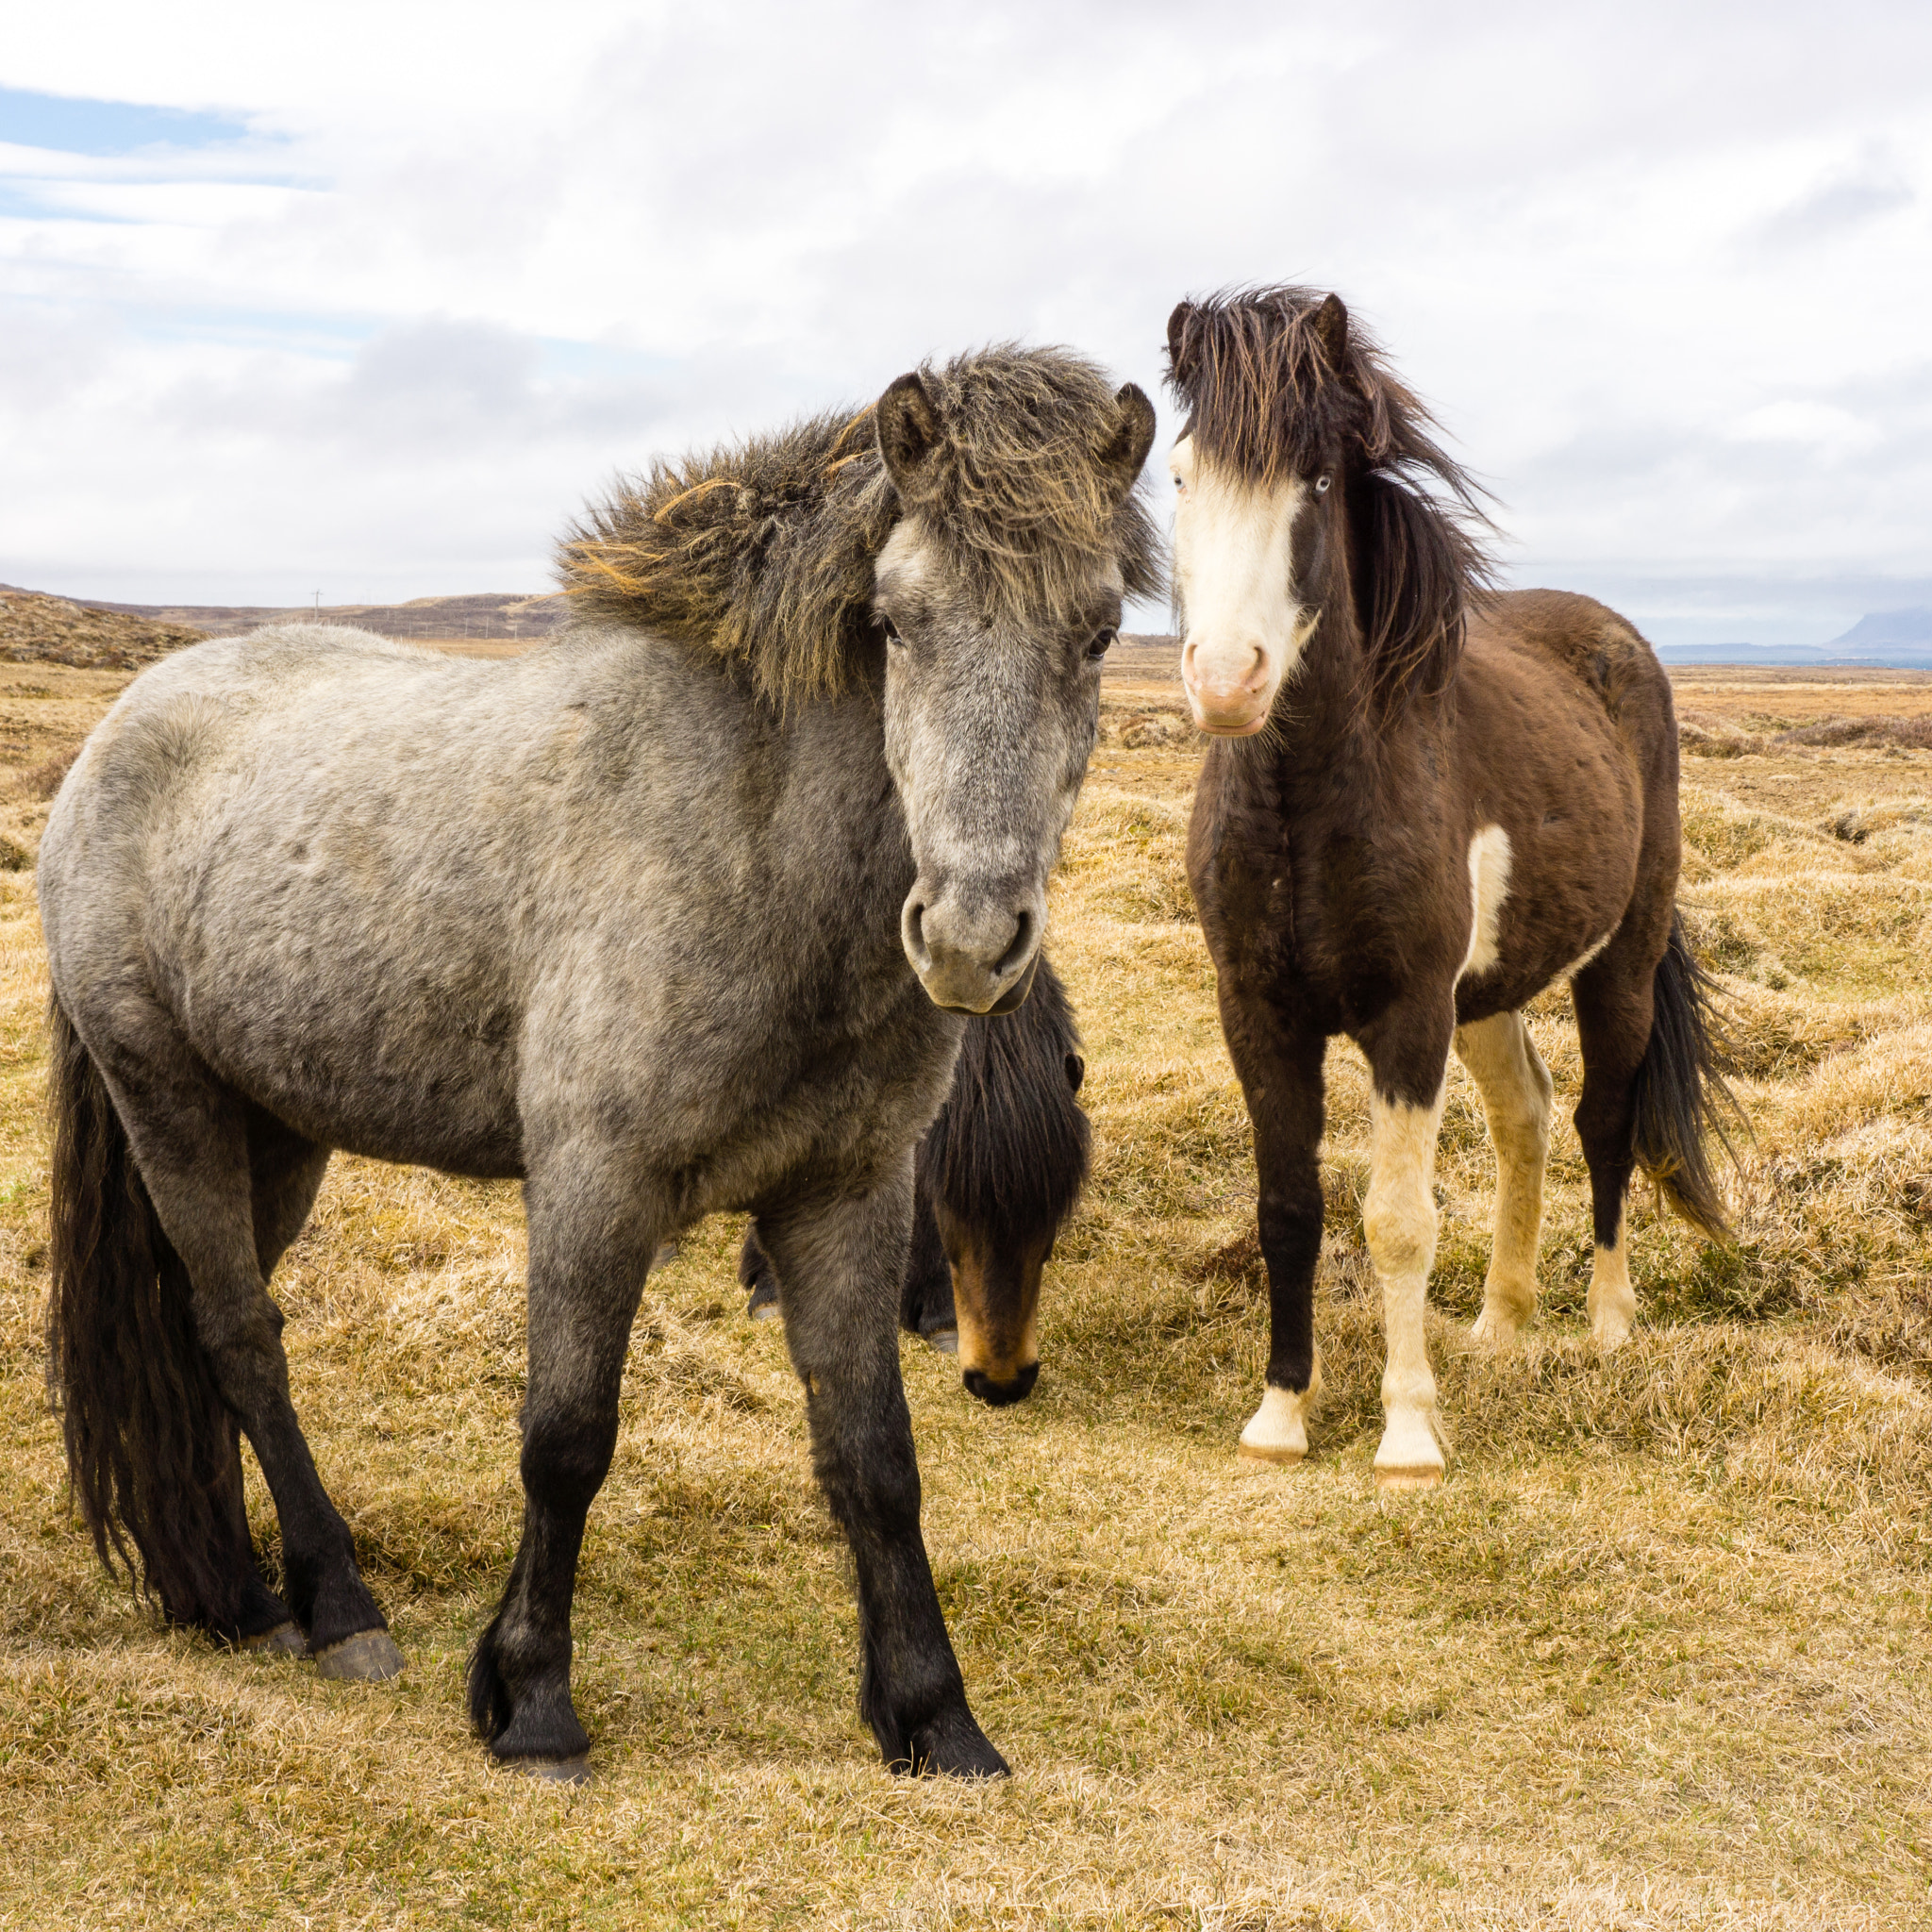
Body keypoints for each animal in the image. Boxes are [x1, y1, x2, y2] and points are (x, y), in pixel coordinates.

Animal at [1166, 286, 1746, 1483]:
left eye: (1317, 480)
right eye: (1182, 472)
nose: (1225, 681)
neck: (1304, 799)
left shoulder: (1403, 1014)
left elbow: (1396, 1218)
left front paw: (1405, 1429)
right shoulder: (1255, 1009)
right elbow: (1287, 1207)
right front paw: (1280, 1412)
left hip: (1612, 962)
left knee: (1600, 1119)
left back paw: (1605, 1321)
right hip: (1483, 994)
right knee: (1525, 1113)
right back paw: (1500, 1320)